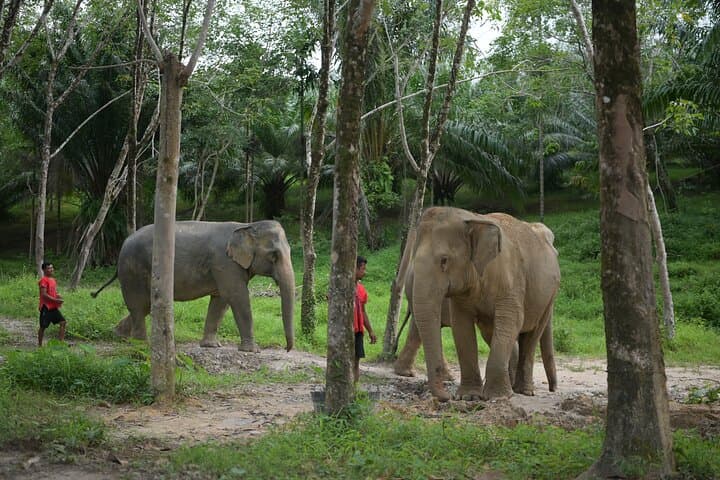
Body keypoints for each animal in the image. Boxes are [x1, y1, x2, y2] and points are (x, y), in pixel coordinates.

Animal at [92, 220, 295, 352]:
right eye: (274, 255)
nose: (287, 349)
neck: (248, 224)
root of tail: (124, 242)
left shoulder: (223, 268)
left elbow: (220, 301)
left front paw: (211, 346)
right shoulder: (224, 263)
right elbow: (236, 296)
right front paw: (252, 350)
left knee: (144, 306)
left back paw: (120, 336)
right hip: (133, 269)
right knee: (138, 304)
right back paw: (141, 344)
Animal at [405, 207, 560, 401]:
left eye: (444, 260)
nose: (446, 396)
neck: (473, 219)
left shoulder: (510, 281)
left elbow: (512, 320)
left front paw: (497, 397)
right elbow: (461, 326)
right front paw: (469, 397)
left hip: (549, 295)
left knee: (532, 336)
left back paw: (524, 391)